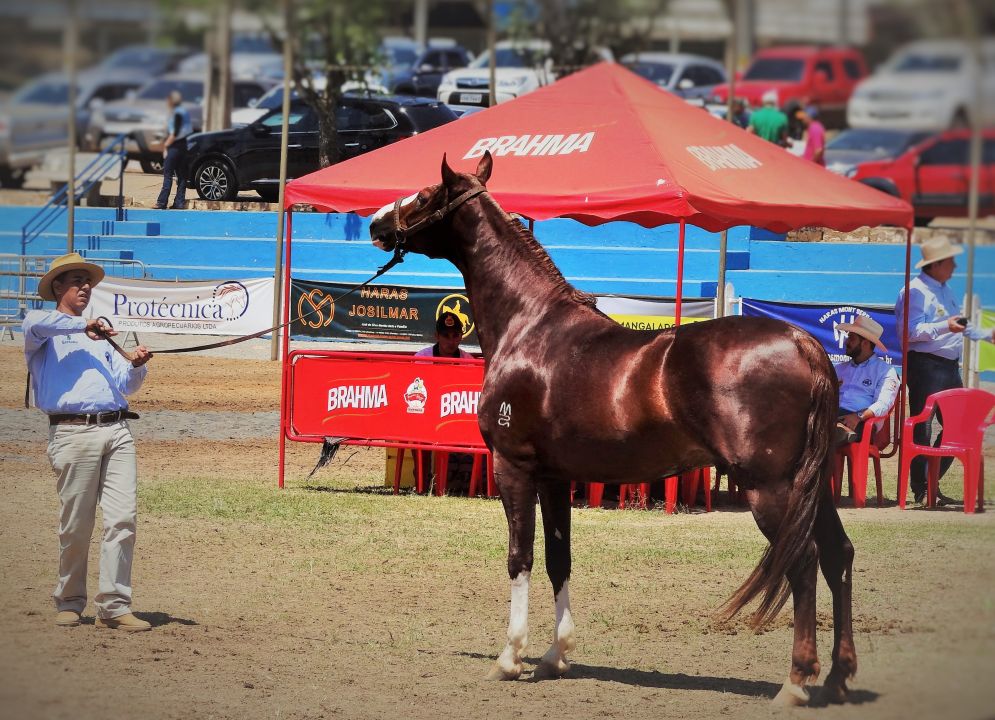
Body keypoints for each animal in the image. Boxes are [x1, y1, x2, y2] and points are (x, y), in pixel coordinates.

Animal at [369, 152, 857, 706]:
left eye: (427, 194)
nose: (376, 223)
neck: (530, 327)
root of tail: (803, 342)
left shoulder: (513, 467)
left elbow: (520, 556)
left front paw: (510, 658)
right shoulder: (554, 477)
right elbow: (559, 558)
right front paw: (556, 657)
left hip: (770, 488)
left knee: (803, 561)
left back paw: (796, 682)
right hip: (810, 487)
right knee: (838, 555)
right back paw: (837, 677)